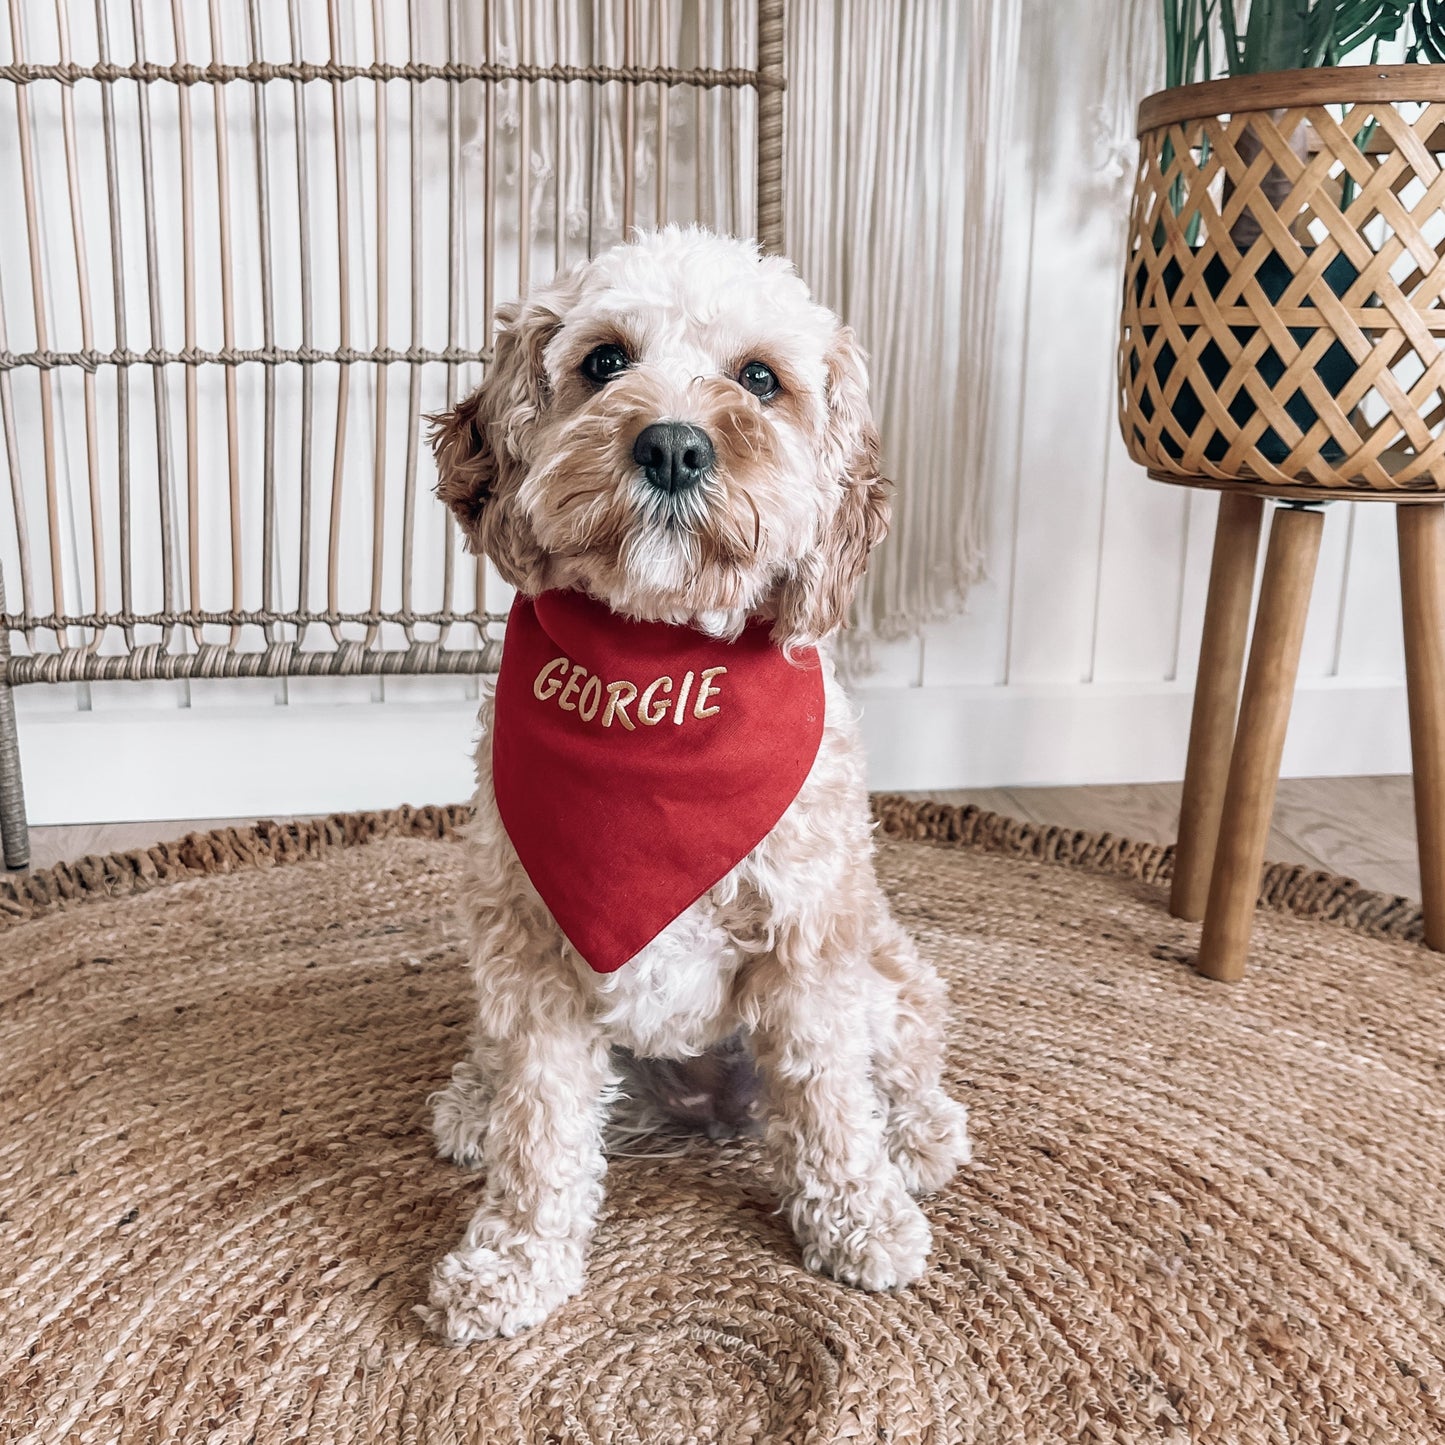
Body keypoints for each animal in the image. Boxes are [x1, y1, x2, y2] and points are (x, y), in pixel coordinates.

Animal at [421, 225, 976, 1340]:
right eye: (603, 360)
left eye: (759, 378)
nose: (673, 446)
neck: (656, 674)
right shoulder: (531, 953)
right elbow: (539, 1132)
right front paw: (512, 1261)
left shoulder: (809, 943)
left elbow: (829, 1103)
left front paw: (858, 1217)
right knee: (501, 1072)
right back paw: (470, 1101)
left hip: (883, 967)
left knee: (905, 1057)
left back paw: (919, 1139)